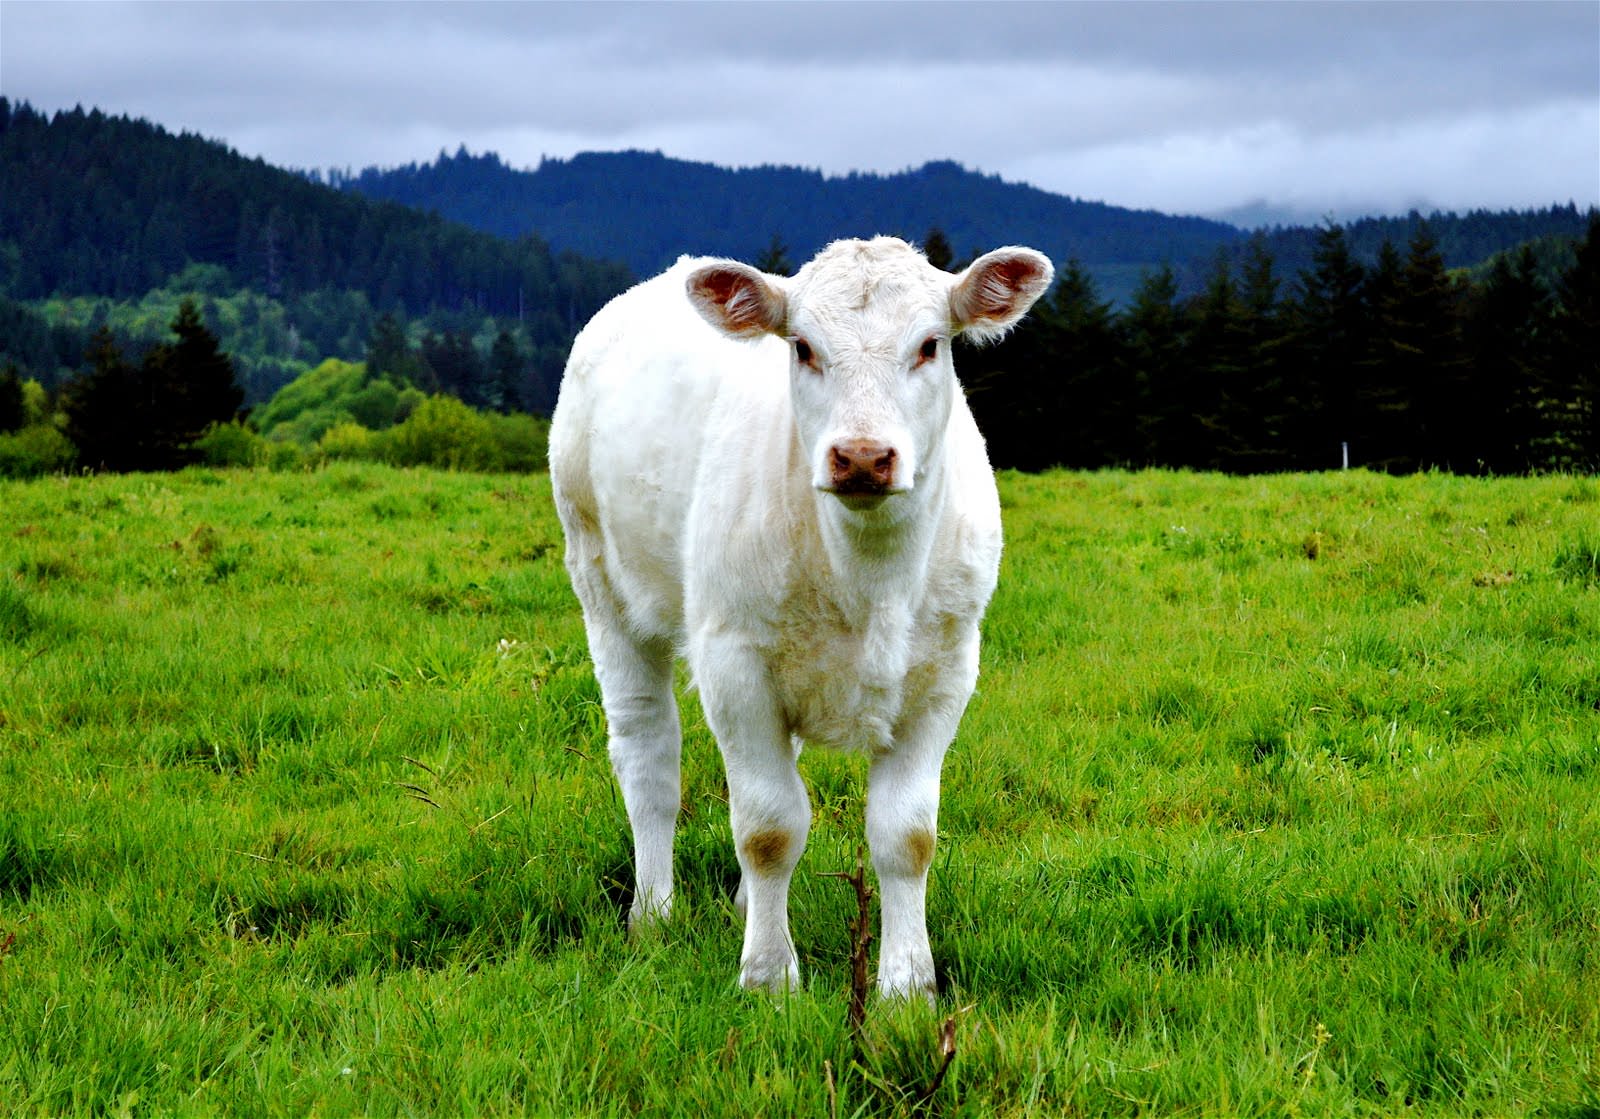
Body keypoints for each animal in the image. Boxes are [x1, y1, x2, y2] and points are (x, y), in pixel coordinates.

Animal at [548, 236, 1052, 997]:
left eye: (930, 344)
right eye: (803, 347)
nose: (863, 457)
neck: (869, 577)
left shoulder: (946, 671)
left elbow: (907, 834)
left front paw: (906, 985)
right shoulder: (733, 661)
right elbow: (768, 828)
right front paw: (768, 976)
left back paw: (741, 904)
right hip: (606, 590)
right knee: (649, 760)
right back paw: (654, 913)